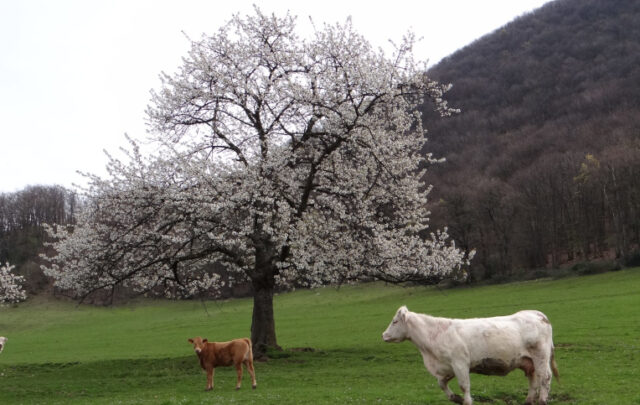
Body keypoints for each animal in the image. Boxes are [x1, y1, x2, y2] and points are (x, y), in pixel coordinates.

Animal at [382, 306, 559, 405]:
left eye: (394, 321)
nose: (384, 335)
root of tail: (536, 314)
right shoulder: (448, 367)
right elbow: (442, 384)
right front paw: (456, 399)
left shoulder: (460, 363)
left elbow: (464, 386)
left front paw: (466, 401)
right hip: (528, 361)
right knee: (533, 379)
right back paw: (529, 400)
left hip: (540, 356)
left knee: (545, 377)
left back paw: (542, 400)